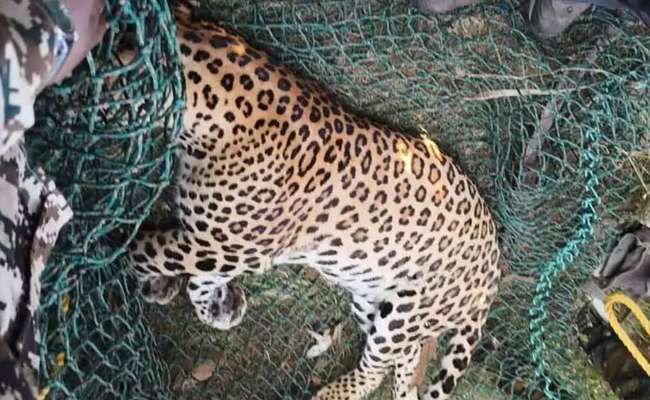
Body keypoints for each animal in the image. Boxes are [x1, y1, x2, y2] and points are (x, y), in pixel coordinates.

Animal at [126, 2, 501, 399]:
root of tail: (493, 269)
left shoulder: (226, 247)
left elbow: (147, 252)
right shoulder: (227, 247)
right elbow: (197, 279)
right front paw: (215, 307)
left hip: (405, 314)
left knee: (377, 365)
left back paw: (332, 393)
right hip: (370, 296)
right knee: (406, 356)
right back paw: (404, 389)